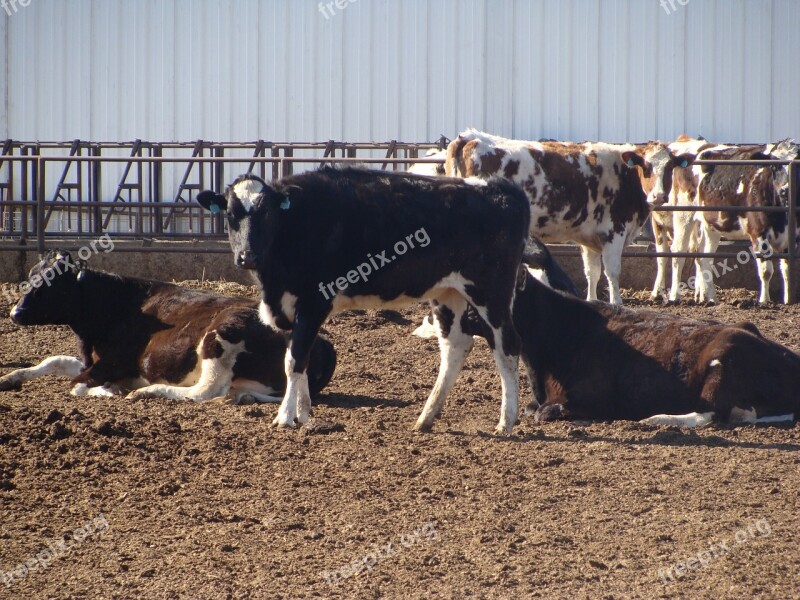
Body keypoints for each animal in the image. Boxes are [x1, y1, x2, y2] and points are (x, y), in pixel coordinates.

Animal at [0, 251, 336, 406]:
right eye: (30, 277)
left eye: (51, 283)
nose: (15, 312)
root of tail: (322, 343)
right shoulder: (92, 360)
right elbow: (53, 361)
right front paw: (11, 377)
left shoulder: (114, 363)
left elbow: (77, 385)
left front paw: (110, 390)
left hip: (221, 336)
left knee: (205, 390)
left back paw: (146, 391)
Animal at [196, 166, 528, 434]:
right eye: (231, 215)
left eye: (266, 213)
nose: (246, 256)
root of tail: (500, 189)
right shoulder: (290, 311)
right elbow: (298, 358)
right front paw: (303, 414)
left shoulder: (313, 303)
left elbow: (294, 361)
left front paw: (285, 417)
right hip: (448, 293)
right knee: (455, 347)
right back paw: (426, 417)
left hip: (491, 292)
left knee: (507, 347)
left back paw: (506, 422)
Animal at [446, 130, 692, 304]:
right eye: (646, 166)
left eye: (669, 167)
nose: (659, 196)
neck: (624, 175)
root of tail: (470, 137)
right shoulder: (614, 231)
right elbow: (613, 272)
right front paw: (617, 303)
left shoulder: (591, 238)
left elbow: (592, 273)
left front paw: (593, 301)